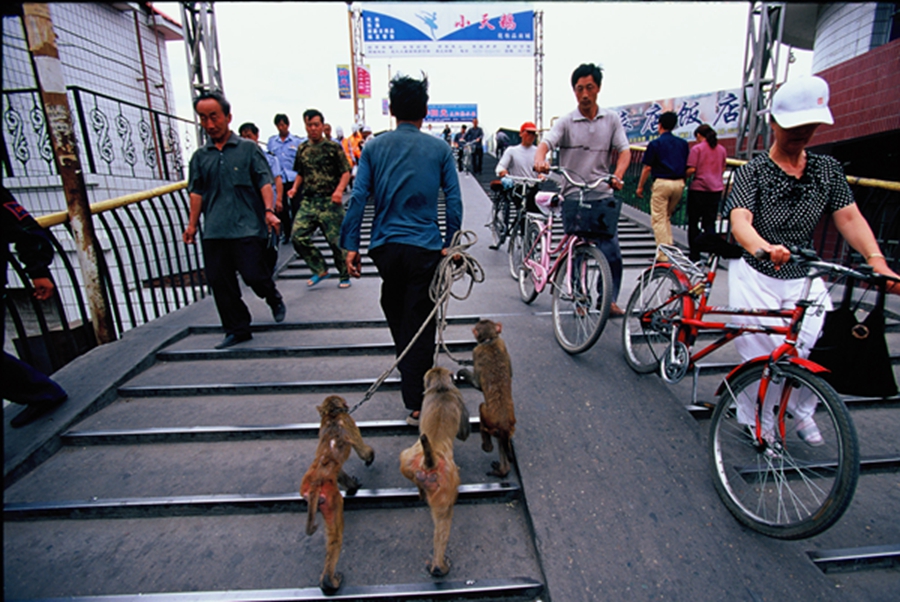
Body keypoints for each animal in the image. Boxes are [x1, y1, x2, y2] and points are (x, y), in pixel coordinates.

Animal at [300, 394, 374, 592]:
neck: (333, 415)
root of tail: (315, 484)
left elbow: (339, 470)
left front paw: (352, 486)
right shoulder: (350, 424)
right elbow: (362, 450)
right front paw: (370, 457)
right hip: (332, 499)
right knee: (335, 535)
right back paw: (329, 580)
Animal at [400, 364, 472, 576]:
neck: (441, 388)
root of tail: (429, 462)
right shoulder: (459, 398)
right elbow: (464, 433)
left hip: (408, 460)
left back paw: (420, 490)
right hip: (447, 484)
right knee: (444, 519)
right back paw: (439, 566)